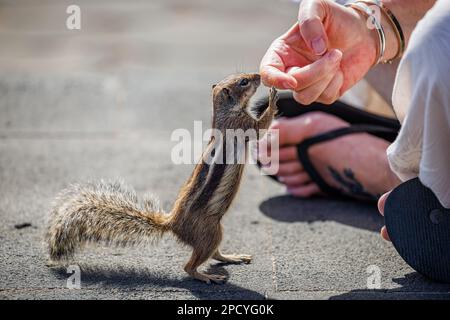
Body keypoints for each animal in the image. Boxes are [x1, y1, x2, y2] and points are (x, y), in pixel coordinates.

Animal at [45, 74, 278, 284]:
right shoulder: (242, 124)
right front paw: (273, 98)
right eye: (243, 82)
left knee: (213, 253)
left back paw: (232, 257)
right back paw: (207, 277)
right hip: (208, 231)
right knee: (189, 266)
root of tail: (172, 222)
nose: (258, 75)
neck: (225, 111)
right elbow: (260, 128)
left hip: (215, 230)